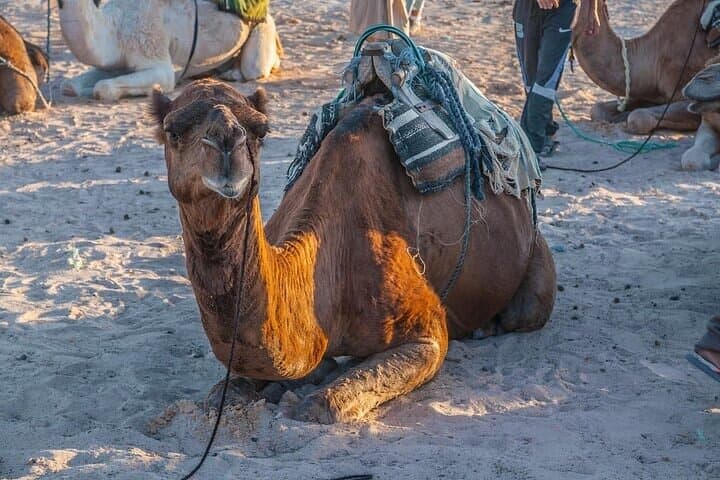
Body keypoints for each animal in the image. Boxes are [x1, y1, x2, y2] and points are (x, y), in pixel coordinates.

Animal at [58, 0, 281, 101]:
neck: (113, 27)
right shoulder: (115, 63)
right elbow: (69, 85)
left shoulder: (153, 53)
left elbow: (102, 88)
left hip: (263, 27)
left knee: (255, 68)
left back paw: (233, 74)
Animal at [150, 79, 557, 423]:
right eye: (173, 131)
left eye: (260, 130)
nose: (227, 145)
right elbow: (224, 392)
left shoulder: (427, 332)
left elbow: (321, 407)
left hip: (533, 263)